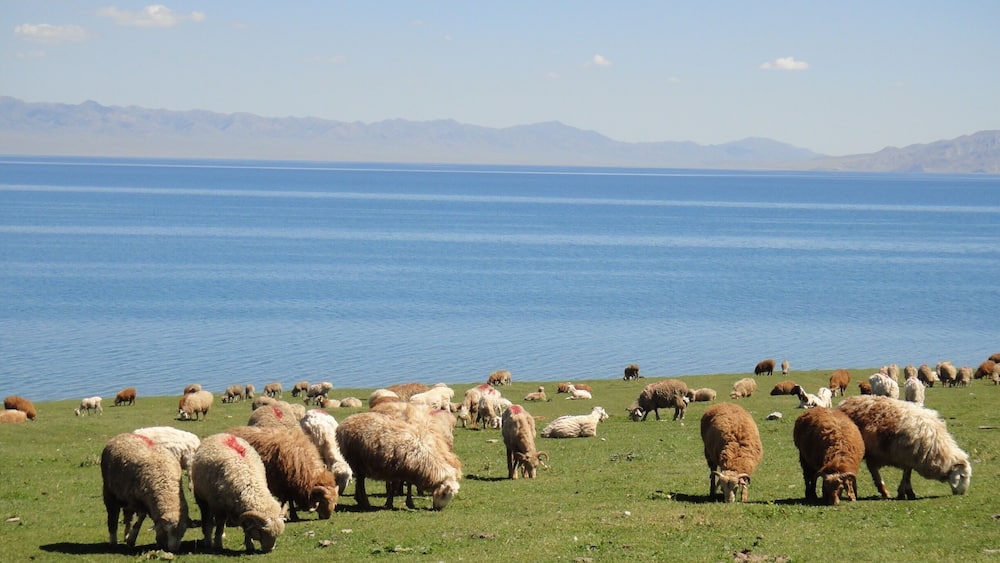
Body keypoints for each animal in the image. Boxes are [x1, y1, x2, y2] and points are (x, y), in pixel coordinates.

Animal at [838, 395, 972, 500]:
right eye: (962, 476)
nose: (962, 493)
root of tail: (845, 402)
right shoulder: (907, 456)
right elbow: (906, 476)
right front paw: (905, 493)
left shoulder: (910, 459)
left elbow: (907, 475)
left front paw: (906, 492)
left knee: (872, 468)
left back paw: (882, 491)